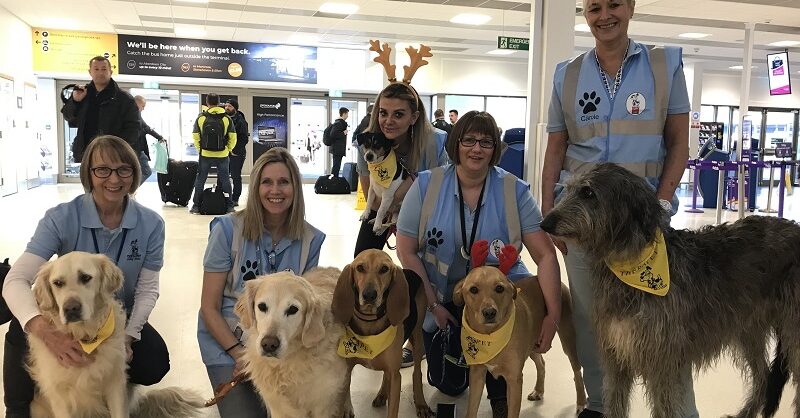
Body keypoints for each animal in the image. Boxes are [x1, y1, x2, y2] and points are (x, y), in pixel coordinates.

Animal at [330, 250, 434, 418]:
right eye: (360, 267)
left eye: (384, 269)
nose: (369, 295)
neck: (370, 321)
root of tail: (409, 271)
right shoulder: (346, 371)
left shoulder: (396, 377)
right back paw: (382, 393)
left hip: (417, 336)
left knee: (417, 372)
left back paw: (420, 402)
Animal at [450, 242, 588, 418]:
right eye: (473, 290)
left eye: (499, 288)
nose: (489, 313)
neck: (491, 336)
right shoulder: (477, 375)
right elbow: (471, 410)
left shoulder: (514, 379)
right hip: (533, 344)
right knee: (541, 363)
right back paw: (538, 390)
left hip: (567, 338)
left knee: (577, 372)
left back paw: (581, 402)